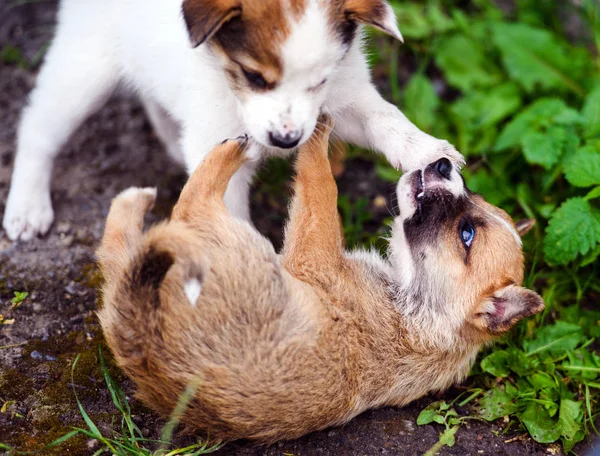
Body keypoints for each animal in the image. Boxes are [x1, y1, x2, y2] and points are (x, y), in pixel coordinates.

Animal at [2, 0, 464, 242]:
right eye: (255, 77)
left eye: (320, 80)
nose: (286, 141)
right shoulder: (221, 141)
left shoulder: (343, 97)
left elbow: (384, 117)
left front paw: (425, 149)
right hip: (85, 71)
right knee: (36, 128)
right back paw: (27, 206)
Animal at [97, 119, 544, 444]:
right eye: (469, 193)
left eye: (467, 234)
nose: (442, 165)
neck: (421, 314)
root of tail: (143, 342)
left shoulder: (312, 253)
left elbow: (320, 184)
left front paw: (318, 132)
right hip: (138, 282)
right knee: (117, 254)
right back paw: (134, 200)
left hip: (229, 244)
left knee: (189, 207)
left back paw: (227, 152)